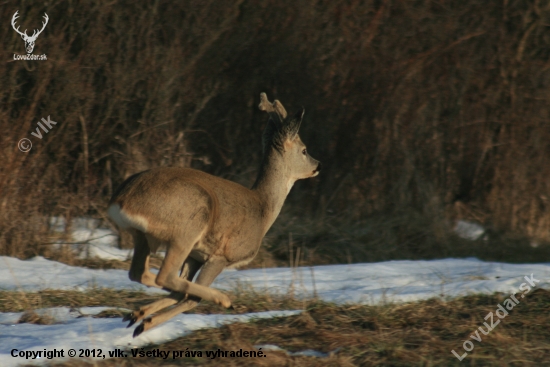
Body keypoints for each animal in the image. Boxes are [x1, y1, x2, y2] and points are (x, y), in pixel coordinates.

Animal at [107, 93, 322, 338]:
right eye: (304, 150)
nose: (318, 165)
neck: (263, 209)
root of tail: (120, 200)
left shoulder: (196, 256)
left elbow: (181, 292)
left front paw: (139, 316)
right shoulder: (223, 255)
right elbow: (191, 298)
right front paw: (146, 322)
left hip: (144, 236)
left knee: (141, 273)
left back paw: (136, 316)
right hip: (188, 225)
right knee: (166, 277)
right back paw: (223, 298)